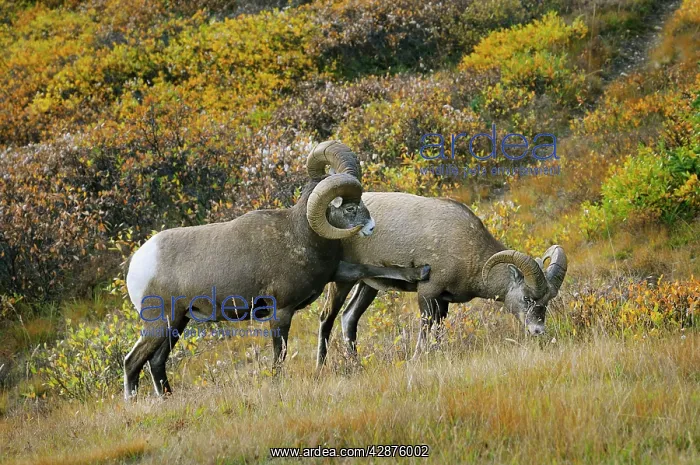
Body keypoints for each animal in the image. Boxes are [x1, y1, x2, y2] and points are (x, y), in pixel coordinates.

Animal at [123, 141, 430, 400]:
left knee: (156, 362)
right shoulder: (281, 312)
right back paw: (133, 401)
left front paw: (421, 272)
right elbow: (278, 355)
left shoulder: (337, 273)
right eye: (351, 208)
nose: (371, 228)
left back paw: (167, 398)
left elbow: (376, 268)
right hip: (159, 323)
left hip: (177, 323)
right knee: (132, 361)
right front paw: (276, 384)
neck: (298, 236)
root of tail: (137, 264)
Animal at [316, 191, 567, 367]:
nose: (538, 331)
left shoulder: (443, 301)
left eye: (547, 300)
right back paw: (322, 367)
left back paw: (356, 364)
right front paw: (416, 360)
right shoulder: (428, 293)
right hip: (343, 281)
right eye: (526, 298)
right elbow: (426, 331)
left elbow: (438, 333)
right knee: (327, 318)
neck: (468, 247)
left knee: (349, 318)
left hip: (367, 286)